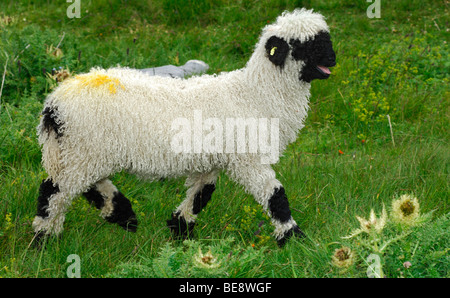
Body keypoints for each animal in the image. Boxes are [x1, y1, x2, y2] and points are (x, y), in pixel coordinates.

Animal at [33, 9, 336, 247]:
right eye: (303, 45)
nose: (333, 60)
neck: (255, 94)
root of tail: (54, 104)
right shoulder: (248, 158)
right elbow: (275, 196)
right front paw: (294, 238)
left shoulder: (212, 161)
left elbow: (200, 195)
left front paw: (180, 231)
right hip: (85, 149)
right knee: (54, 190)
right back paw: (43, 239)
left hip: (83, 152)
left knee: (84, 185)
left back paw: (121, 213)